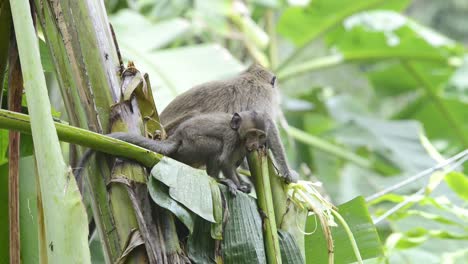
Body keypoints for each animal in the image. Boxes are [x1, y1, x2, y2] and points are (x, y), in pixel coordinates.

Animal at [77, 110, 266, 195]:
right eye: (252, 134)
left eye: (260, 136)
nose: (255, 144)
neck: (240, 138)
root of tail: (178, 135)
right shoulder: (232, 137)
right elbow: (225, 161)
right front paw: (238, 185)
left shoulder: (242, 148)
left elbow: (232, 164)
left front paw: (243, 184)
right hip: (191, 145)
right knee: (215, 146)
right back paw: (217, 179)